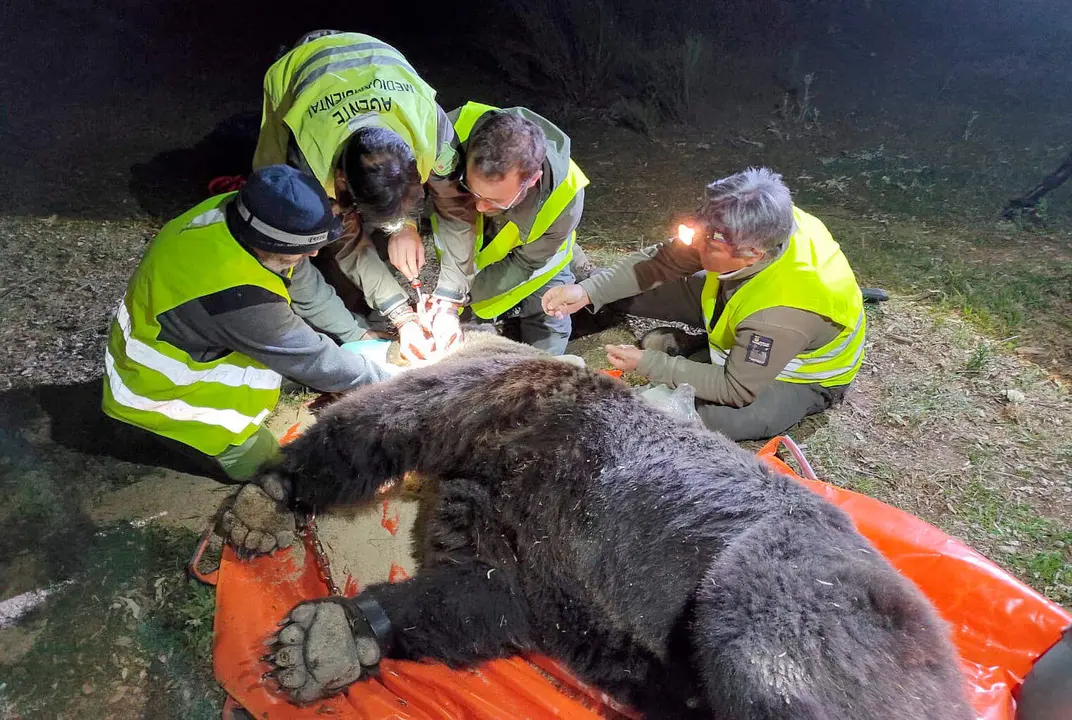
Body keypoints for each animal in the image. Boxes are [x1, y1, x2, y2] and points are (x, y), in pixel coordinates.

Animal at [236, 336, 973, 719]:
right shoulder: (516, 556)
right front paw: (330, 637)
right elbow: (475, 598)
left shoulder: (502, 398)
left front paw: (271, 493)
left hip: (788, 596)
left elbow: (391, 415)